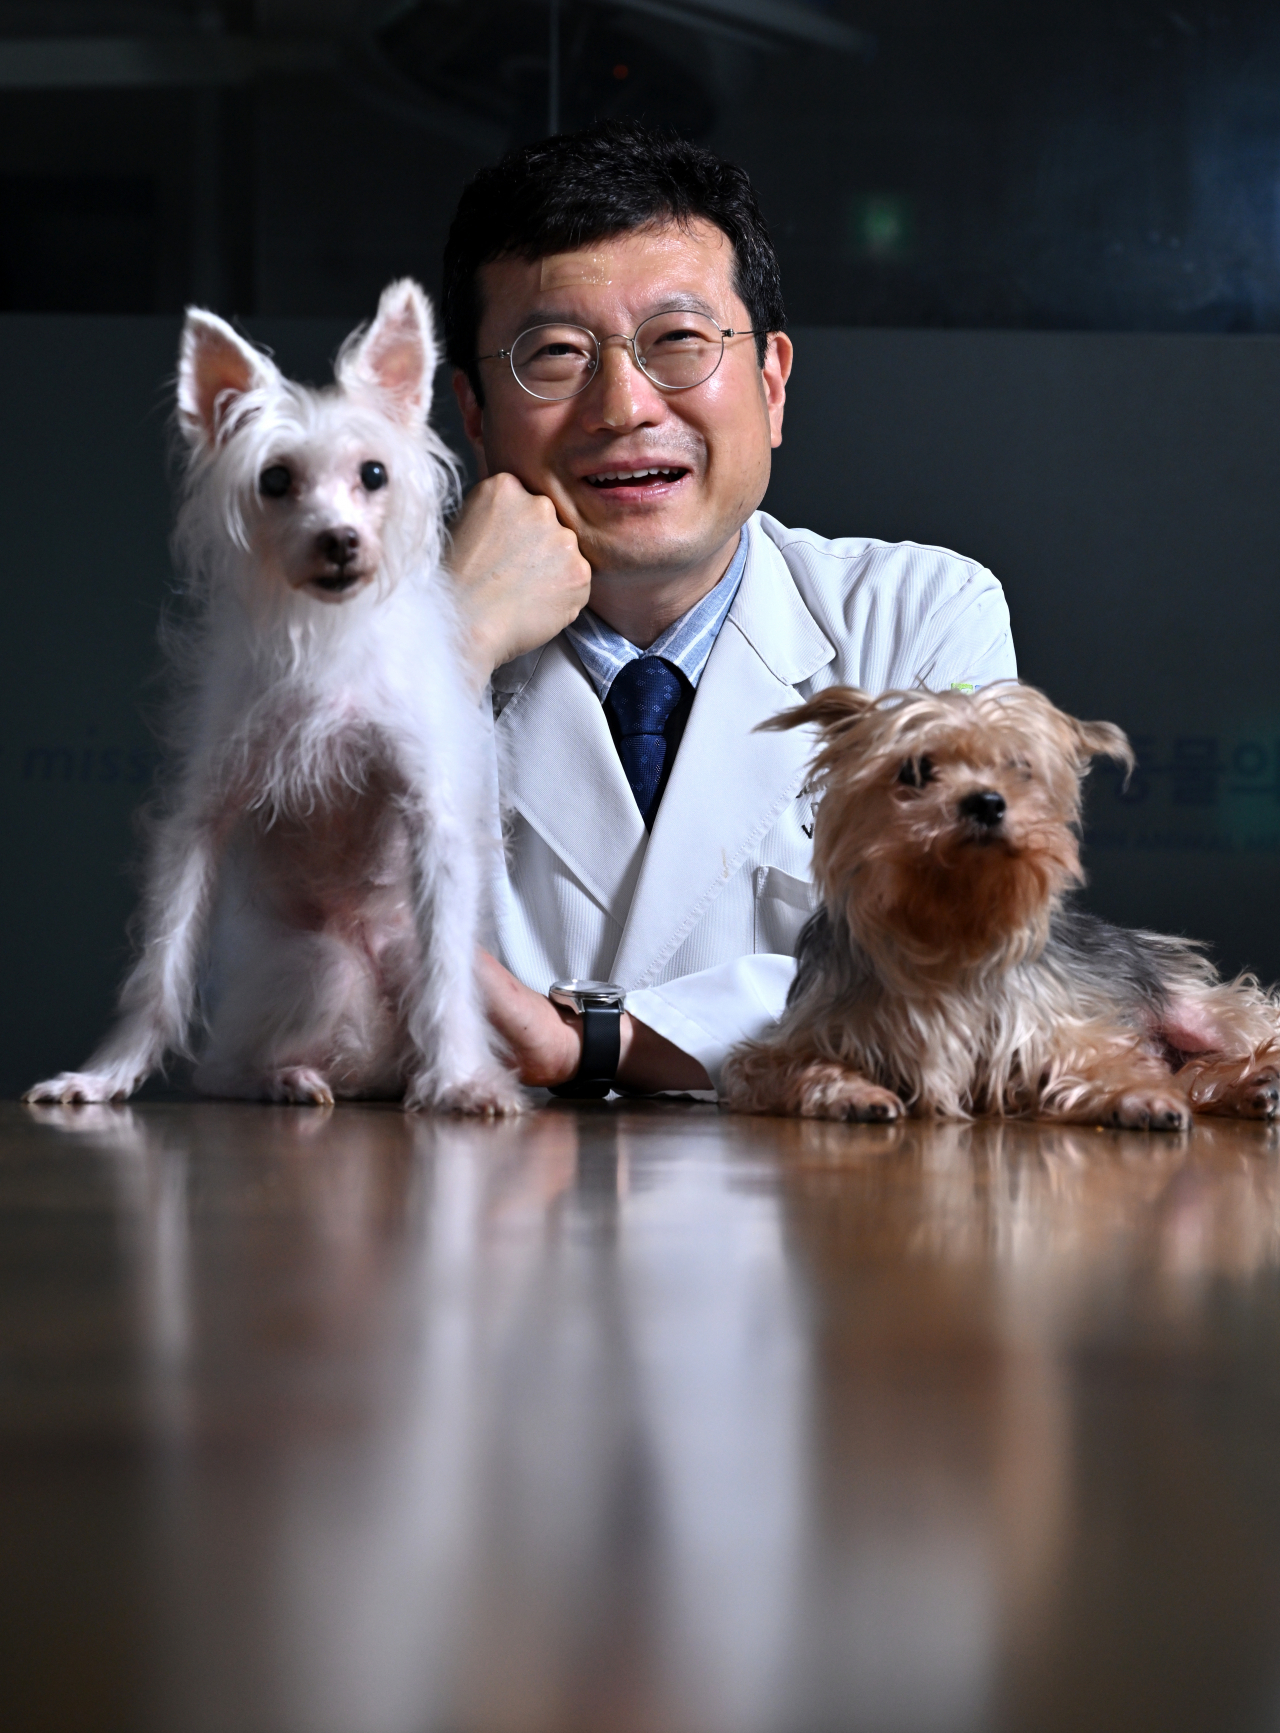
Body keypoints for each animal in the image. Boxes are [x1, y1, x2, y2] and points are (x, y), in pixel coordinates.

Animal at [27, 270, 523, 1109]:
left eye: (374, 475)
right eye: (276, 481)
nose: (338, 540)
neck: (327, 639)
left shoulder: (430, 813)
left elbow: (448, 981)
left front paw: (461, 1079)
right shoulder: (202, 818)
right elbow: (161, 967)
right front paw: (107, 1074)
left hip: (389, 955)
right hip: (320, 965)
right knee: (231, 1066)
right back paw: (289, 1077)